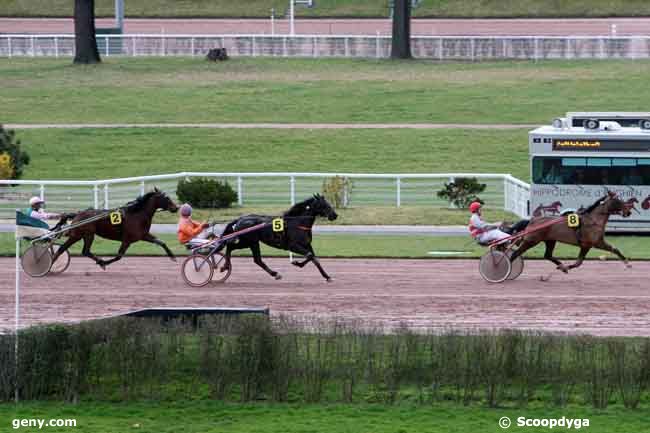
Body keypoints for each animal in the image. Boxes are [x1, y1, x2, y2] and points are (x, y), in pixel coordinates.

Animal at [49, 187, 178, 268]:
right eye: (167, 198)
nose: (176, 208)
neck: (137, 214)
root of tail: (78, 214)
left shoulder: (143, 235)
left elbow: (161, 242)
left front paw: (173, 257)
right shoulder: (127, 240)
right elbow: (119, 256)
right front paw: (105, 262)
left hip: (86, 235)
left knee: (85, 251)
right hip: (80, 235)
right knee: (63, 249)